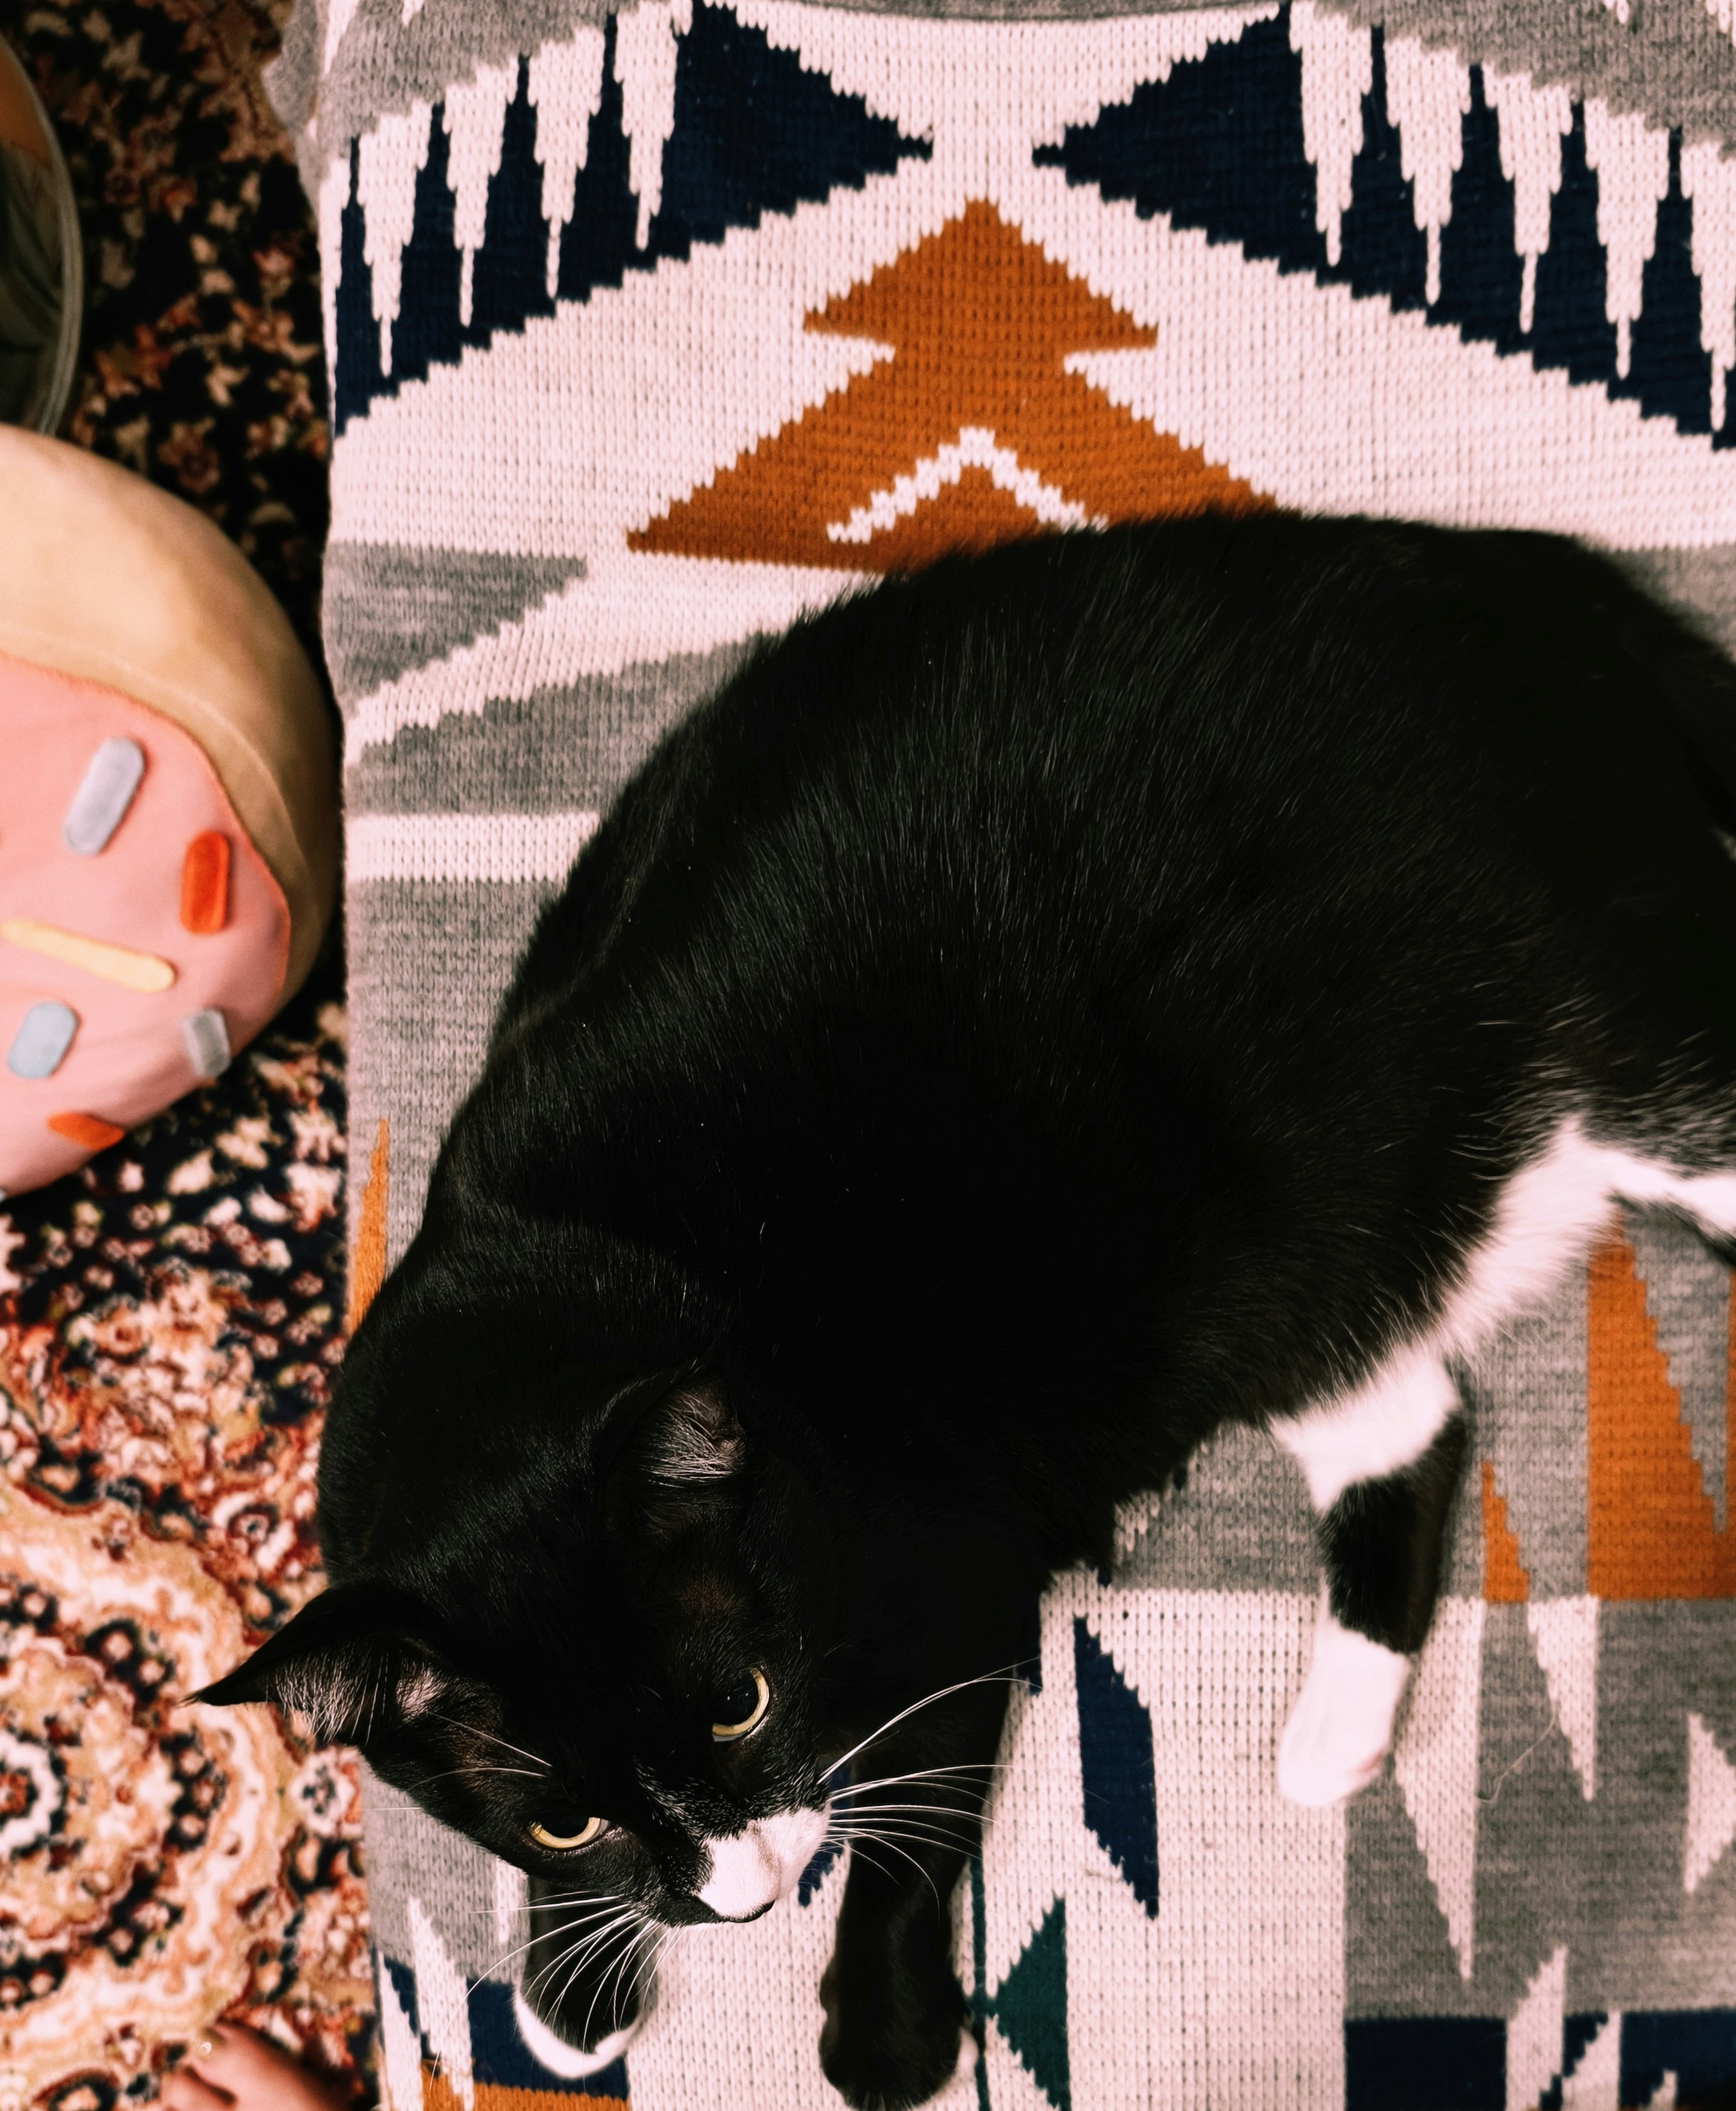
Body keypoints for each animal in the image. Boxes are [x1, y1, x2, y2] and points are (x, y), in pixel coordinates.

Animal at [204, 515, 1736, 2111]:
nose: (740, 1896)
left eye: (741, 1702)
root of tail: (1514, 574)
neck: (586, 1275)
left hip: (1599, 1042)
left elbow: (914, 1828)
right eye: (562, 1817)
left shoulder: (950, 1577)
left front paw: (881, 2032)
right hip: (1277, 1270)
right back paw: (1329, 1734)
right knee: (1408, 1415)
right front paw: (573, 1978)